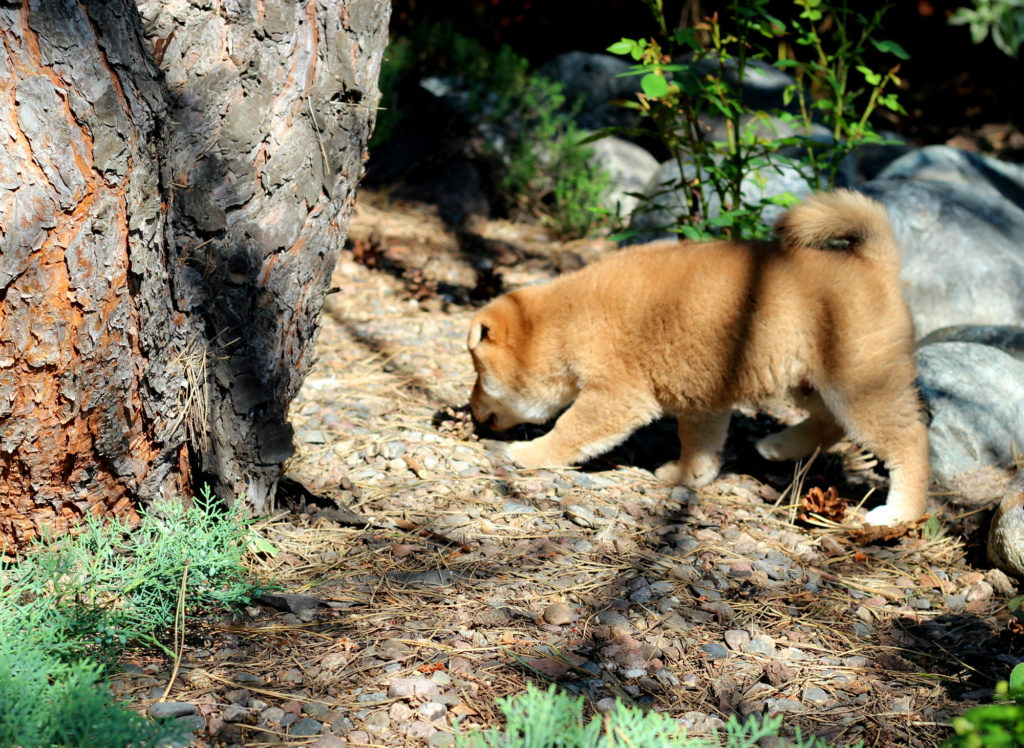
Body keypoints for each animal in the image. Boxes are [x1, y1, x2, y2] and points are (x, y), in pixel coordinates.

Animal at [468, 189, 933, 528]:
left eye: (477, 373)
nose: (470, 409)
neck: (565, 322)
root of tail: (876, 266)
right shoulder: (702, 398)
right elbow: (700, 447)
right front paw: (686, 477)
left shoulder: (615, 396)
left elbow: (569, 430)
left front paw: (528, 454)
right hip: (809, 383)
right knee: (830, 424)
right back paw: (778, 447)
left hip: (860, 386)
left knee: (909, 440)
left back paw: (898, 513)